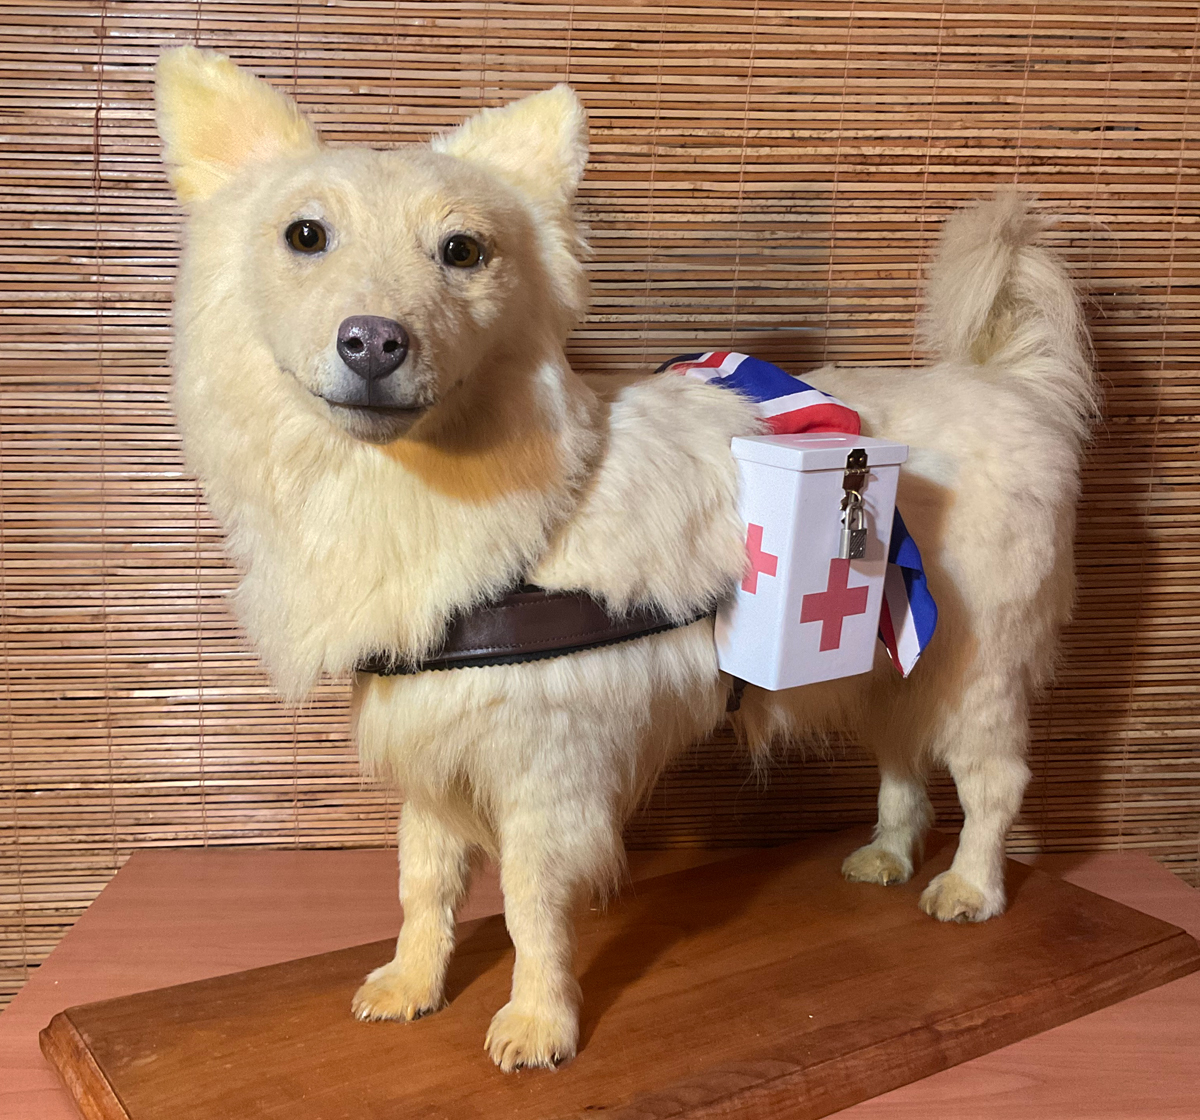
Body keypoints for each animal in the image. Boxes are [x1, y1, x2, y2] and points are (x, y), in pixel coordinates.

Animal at [152, 48, 1099, 1070]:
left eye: (462, 252)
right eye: (305, 235)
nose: (373, 342)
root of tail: (1012, 388)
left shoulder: (550, 767)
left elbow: (529, 905)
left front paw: (538, 1024)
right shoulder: (436, 750)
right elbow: (423, 881)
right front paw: (411, 986)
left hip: (975, 669)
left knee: (993, 783)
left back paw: (969, 889)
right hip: (886, 665)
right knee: (901, 764)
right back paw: (886, 857)